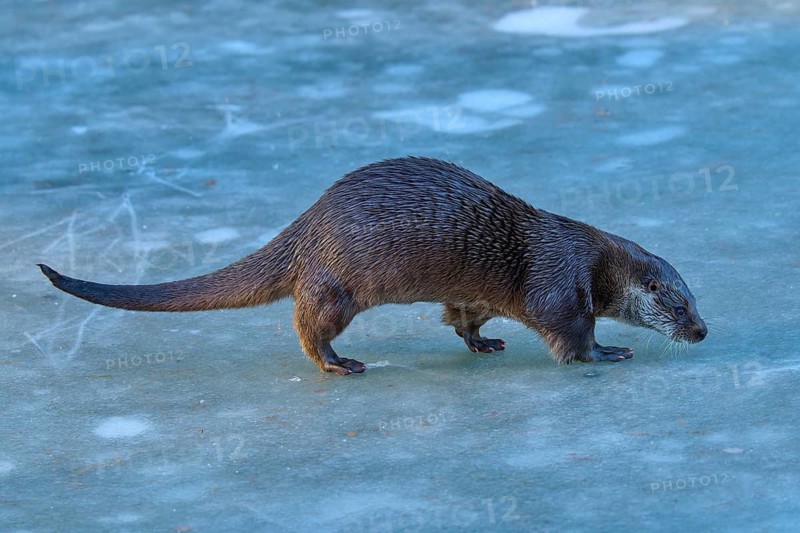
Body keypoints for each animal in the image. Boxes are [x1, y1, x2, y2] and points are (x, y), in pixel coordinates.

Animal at [38, 157, 706, 375]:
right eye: (676, 303)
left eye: (697, 299)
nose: (701, 331)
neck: (593, 261)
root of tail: (310, 223)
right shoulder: (560, 285)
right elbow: (573, 337)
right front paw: (610, 352)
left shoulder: (475, 293)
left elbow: (462, 315)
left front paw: (481, 342)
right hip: (337, 284)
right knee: (308, 324)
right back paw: (340, 364)